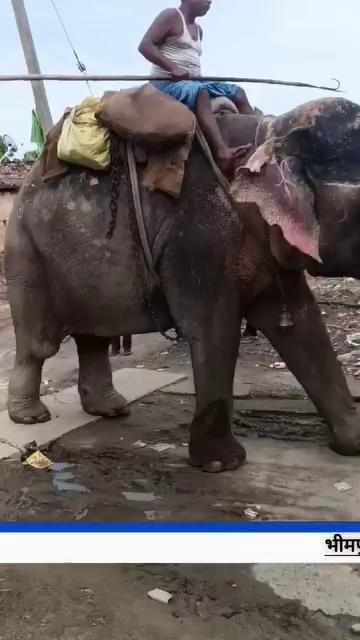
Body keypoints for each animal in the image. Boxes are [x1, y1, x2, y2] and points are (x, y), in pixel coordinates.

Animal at [4, 97, 360, 472]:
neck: (267, 134)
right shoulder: (197, 239)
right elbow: (215, 329)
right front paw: (221, 464)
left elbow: (303, 326)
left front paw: (351, 444)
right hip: (27, 251)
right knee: (40, 344)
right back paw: (32, 417)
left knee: (93, 337)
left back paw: (112, 409)